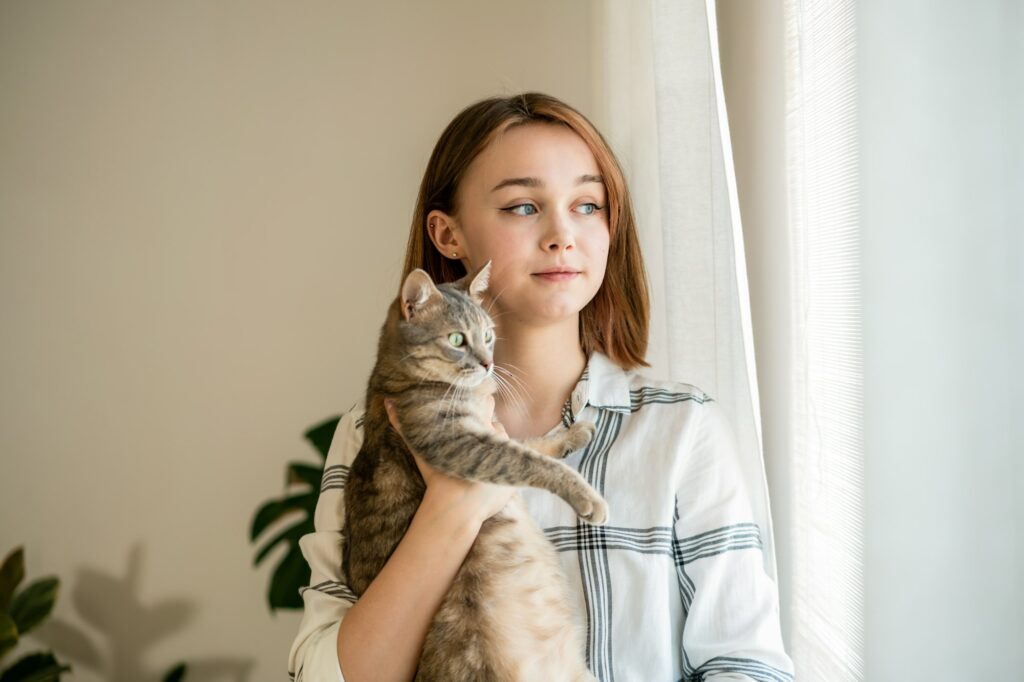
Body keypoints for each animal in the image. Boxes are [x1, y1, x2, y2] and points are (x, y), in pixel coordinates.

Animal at [344, 258, 606, 675]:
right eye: (456, 340)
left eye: (488, 335)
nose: (488, 363)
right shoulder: (456, 442)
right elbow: (525, 458)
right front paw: (587, 496)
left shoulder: (488, 431)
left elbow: (529, 443)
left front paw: (572, 434)